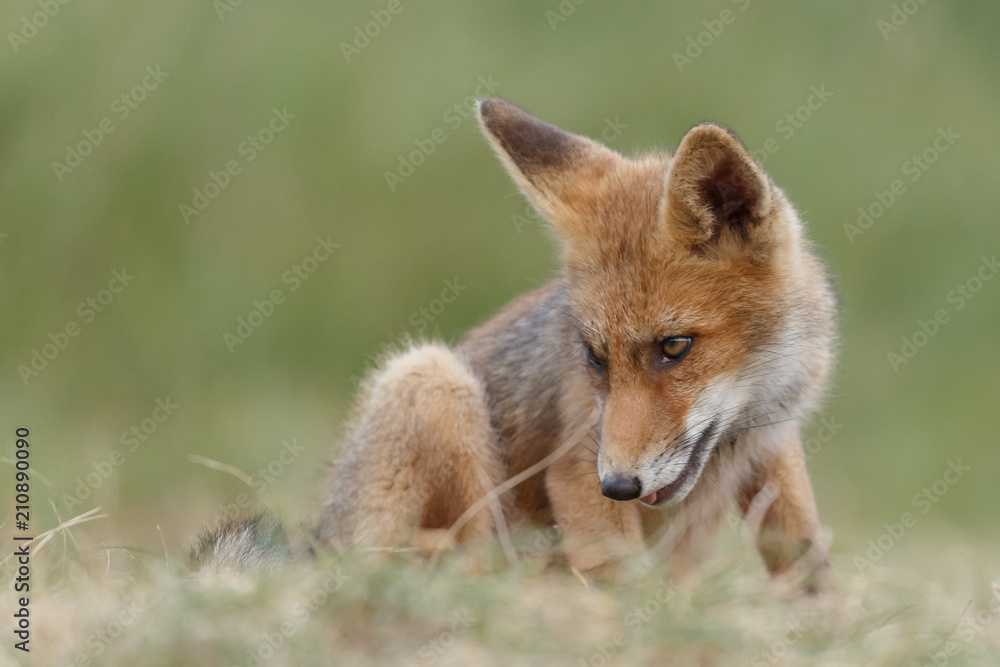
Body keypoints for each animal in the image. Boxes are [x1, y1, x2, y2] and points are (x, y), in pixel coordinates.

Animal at [193, 97, 835, 585]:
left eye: (674, 347)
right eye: (593, 358)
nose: (619, 485)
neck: (743, 423)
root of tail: (328, 533)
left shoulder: (774, 446)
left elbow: (805, 555)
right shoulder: (576, 469)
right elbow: (625, 580)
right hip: (430, 381)